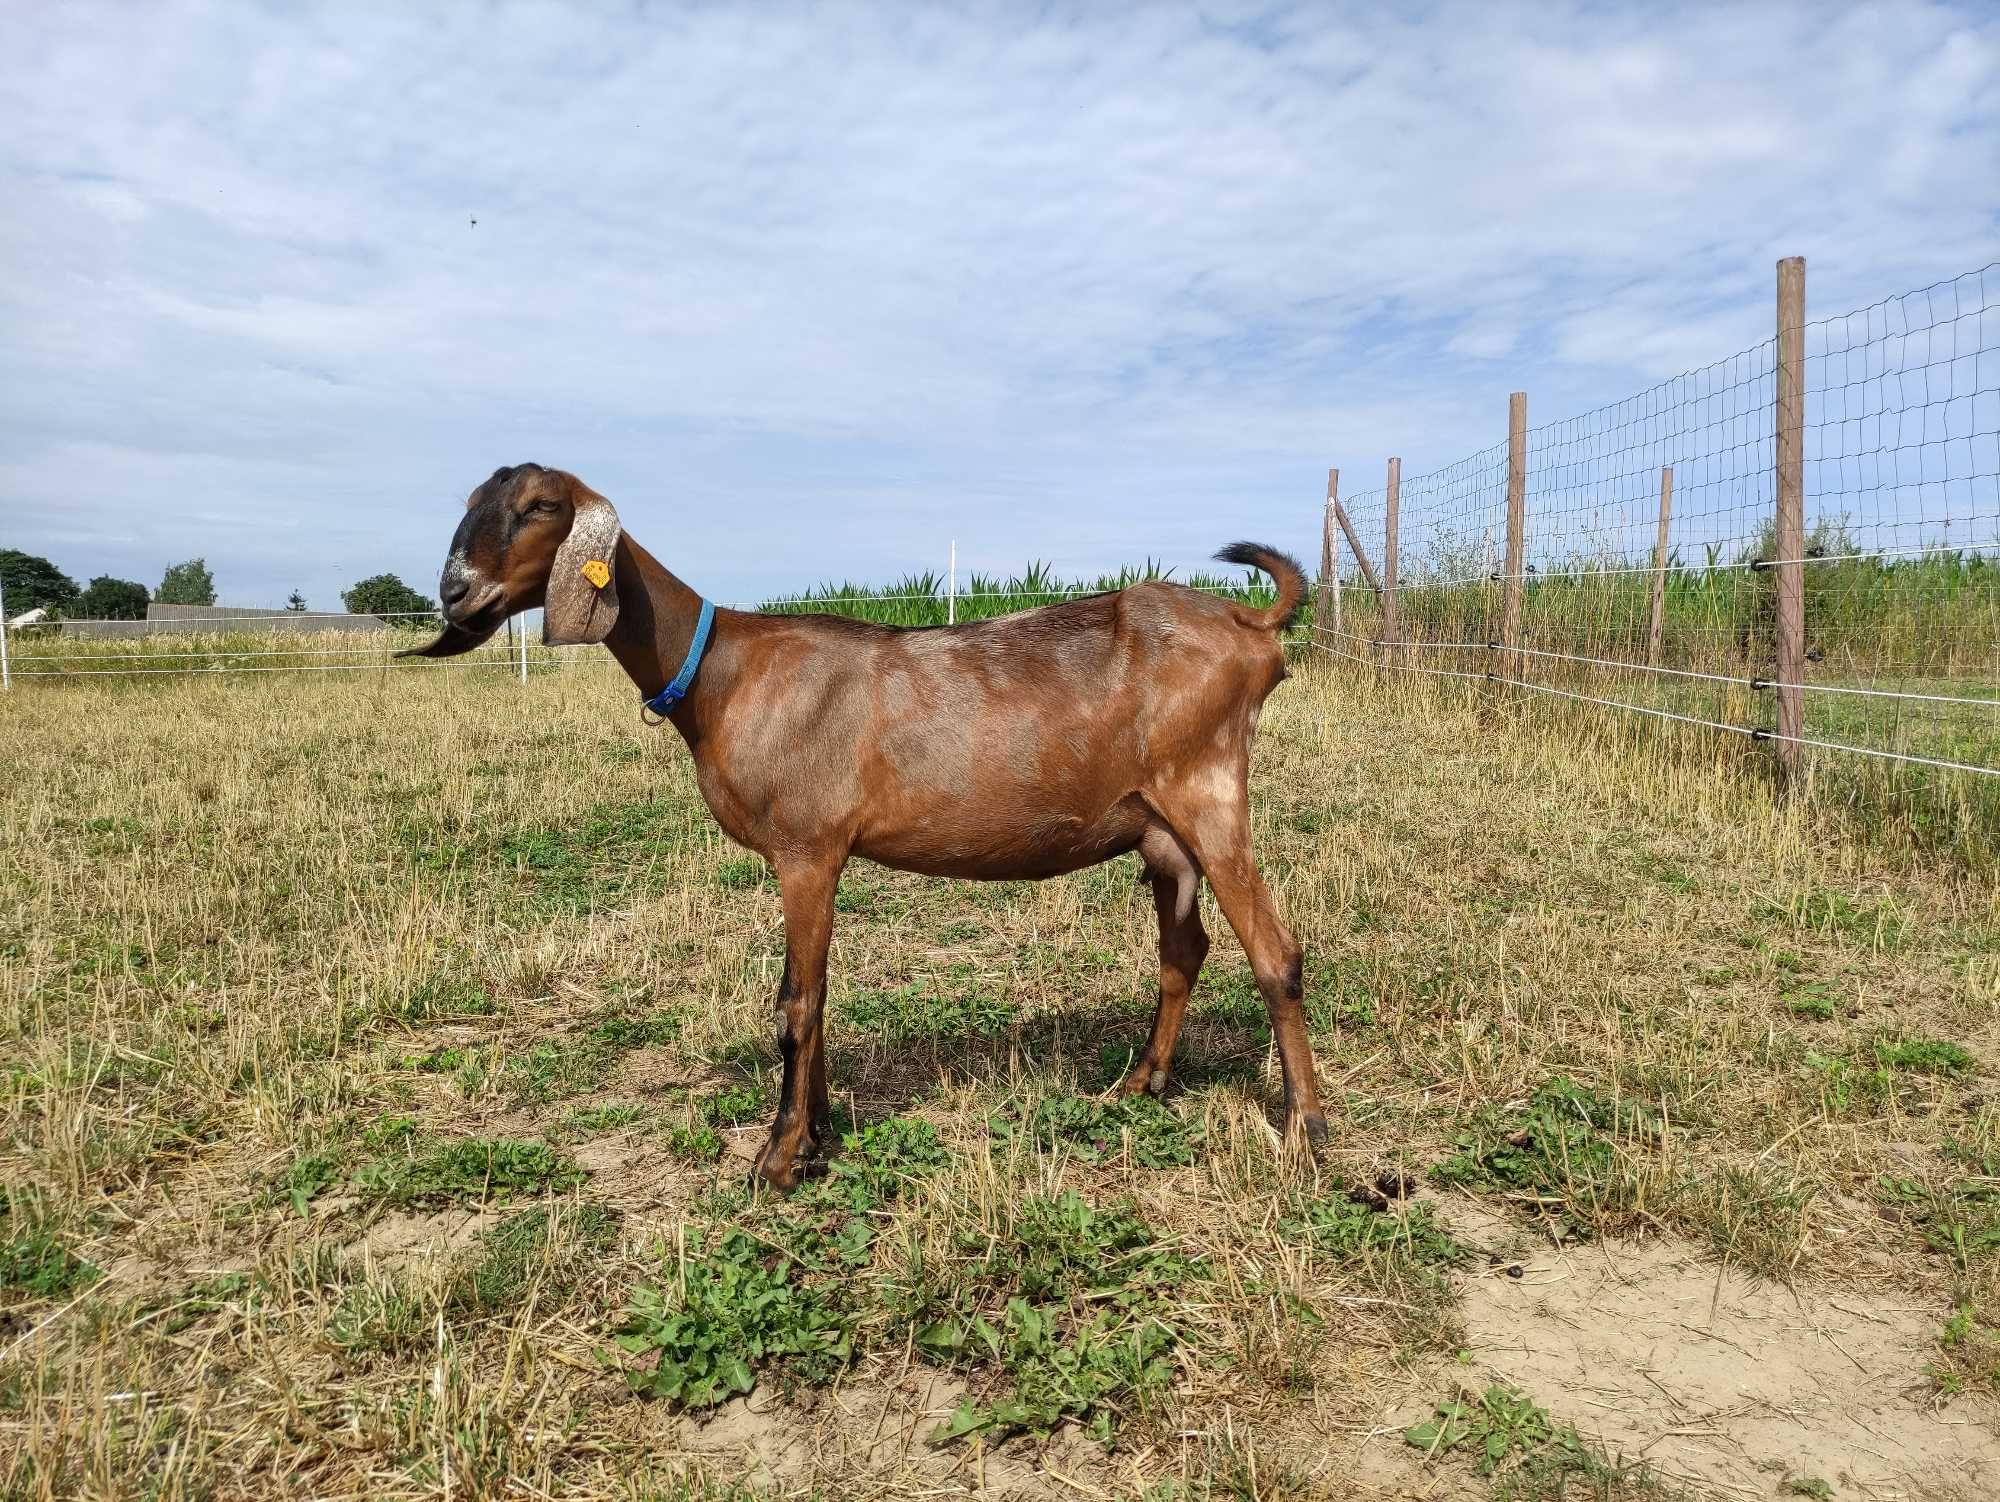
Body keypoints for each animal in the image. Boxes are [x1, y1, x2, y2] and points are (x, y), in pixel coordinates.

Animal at [408, 464, 1328, 1192]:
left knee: (1276, 955)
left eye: (540, 505)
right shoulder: (816, 857)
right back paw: (1143, 1082)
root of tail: (1252, 626)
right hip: (1162, 830)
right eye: (471, 503)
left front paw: (778, 1159)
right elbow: (817, 995)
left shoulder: (806, 849)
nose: (454, 592)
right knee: (1185, 949)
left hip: (1209, 790)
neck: (721, 671)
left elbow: (796, 1003)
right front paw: (818, 1135)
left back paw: (1306, 1132)